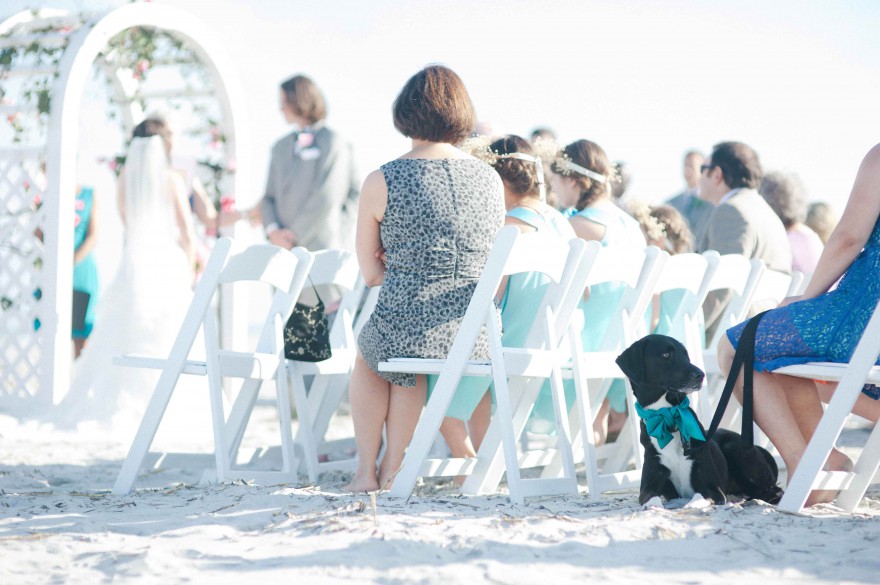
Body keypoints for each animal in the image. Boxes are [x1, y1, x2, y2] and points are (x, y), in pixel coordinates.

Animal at [612, 336, 784, 504]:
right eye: (666, 355)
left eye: (685, 354)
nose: (700, 374)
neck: (668, 418)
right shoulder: (649, 484)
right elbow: (649, 500)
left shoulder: (714, 490)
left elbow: (699, 498)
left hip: (736, 449)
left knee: (771, 491)